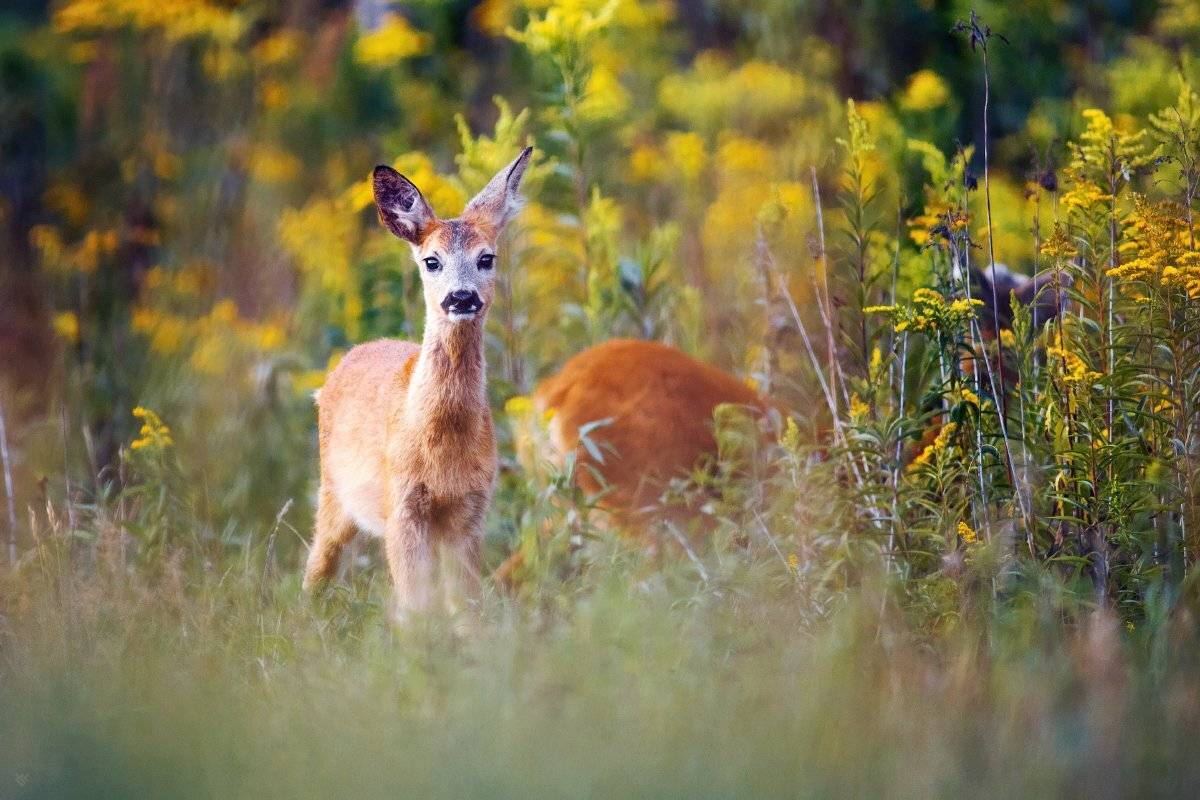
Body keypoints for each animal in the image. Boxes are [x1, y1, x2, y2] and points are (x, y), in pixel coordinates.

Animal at [303, 147, 533, 618]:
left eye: (487, 258)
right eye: (432, 261)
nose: (461, 297)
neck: (440, 448)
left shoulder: (471, 509)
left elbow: (464, 603)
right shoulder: (403, 507)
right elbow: (415, 607)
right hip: (333, 491)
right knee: (317, 563)